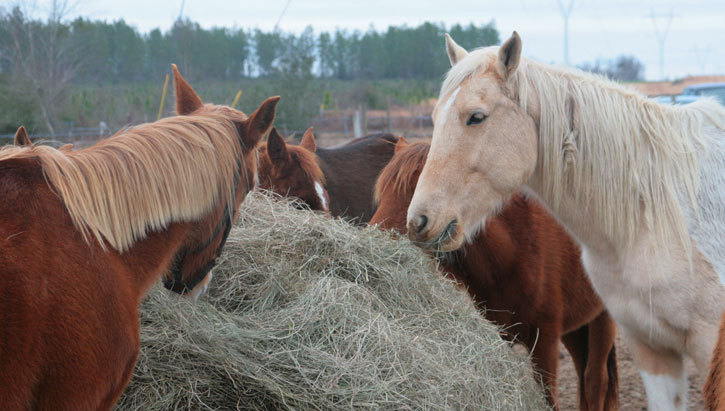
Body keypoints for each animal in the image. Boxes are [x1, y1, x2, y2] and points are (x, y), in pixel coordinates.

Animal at [370, 138, 618, 410]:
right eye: (383, 191)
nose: (374, 234)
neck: (513, 250)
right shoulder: (503, 333)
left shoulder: (545, 340)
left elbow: (548, 399)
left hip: (603, 318)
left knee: (595, 381)